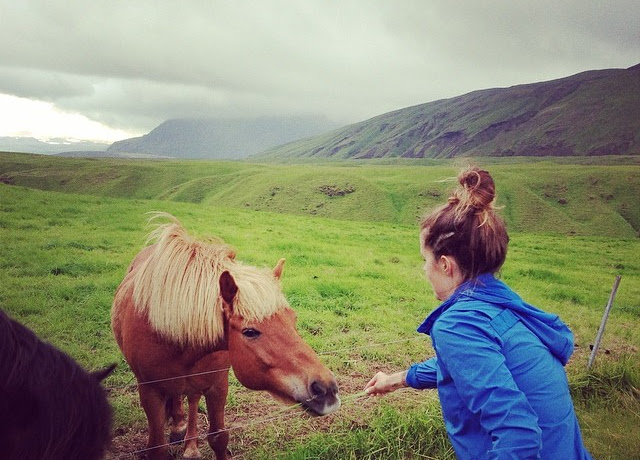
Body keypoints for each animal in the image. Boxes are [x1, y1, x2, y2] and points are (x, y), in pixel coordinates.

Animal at [111, 214, 340, 458]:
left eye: (293, 320)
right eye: (250, 332)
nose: (327, 390)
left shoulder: (217, 384)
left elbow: (218, 437)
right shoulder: (150, 391)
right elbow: (157, 447)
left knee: (192, 398)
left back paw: (189, 441)